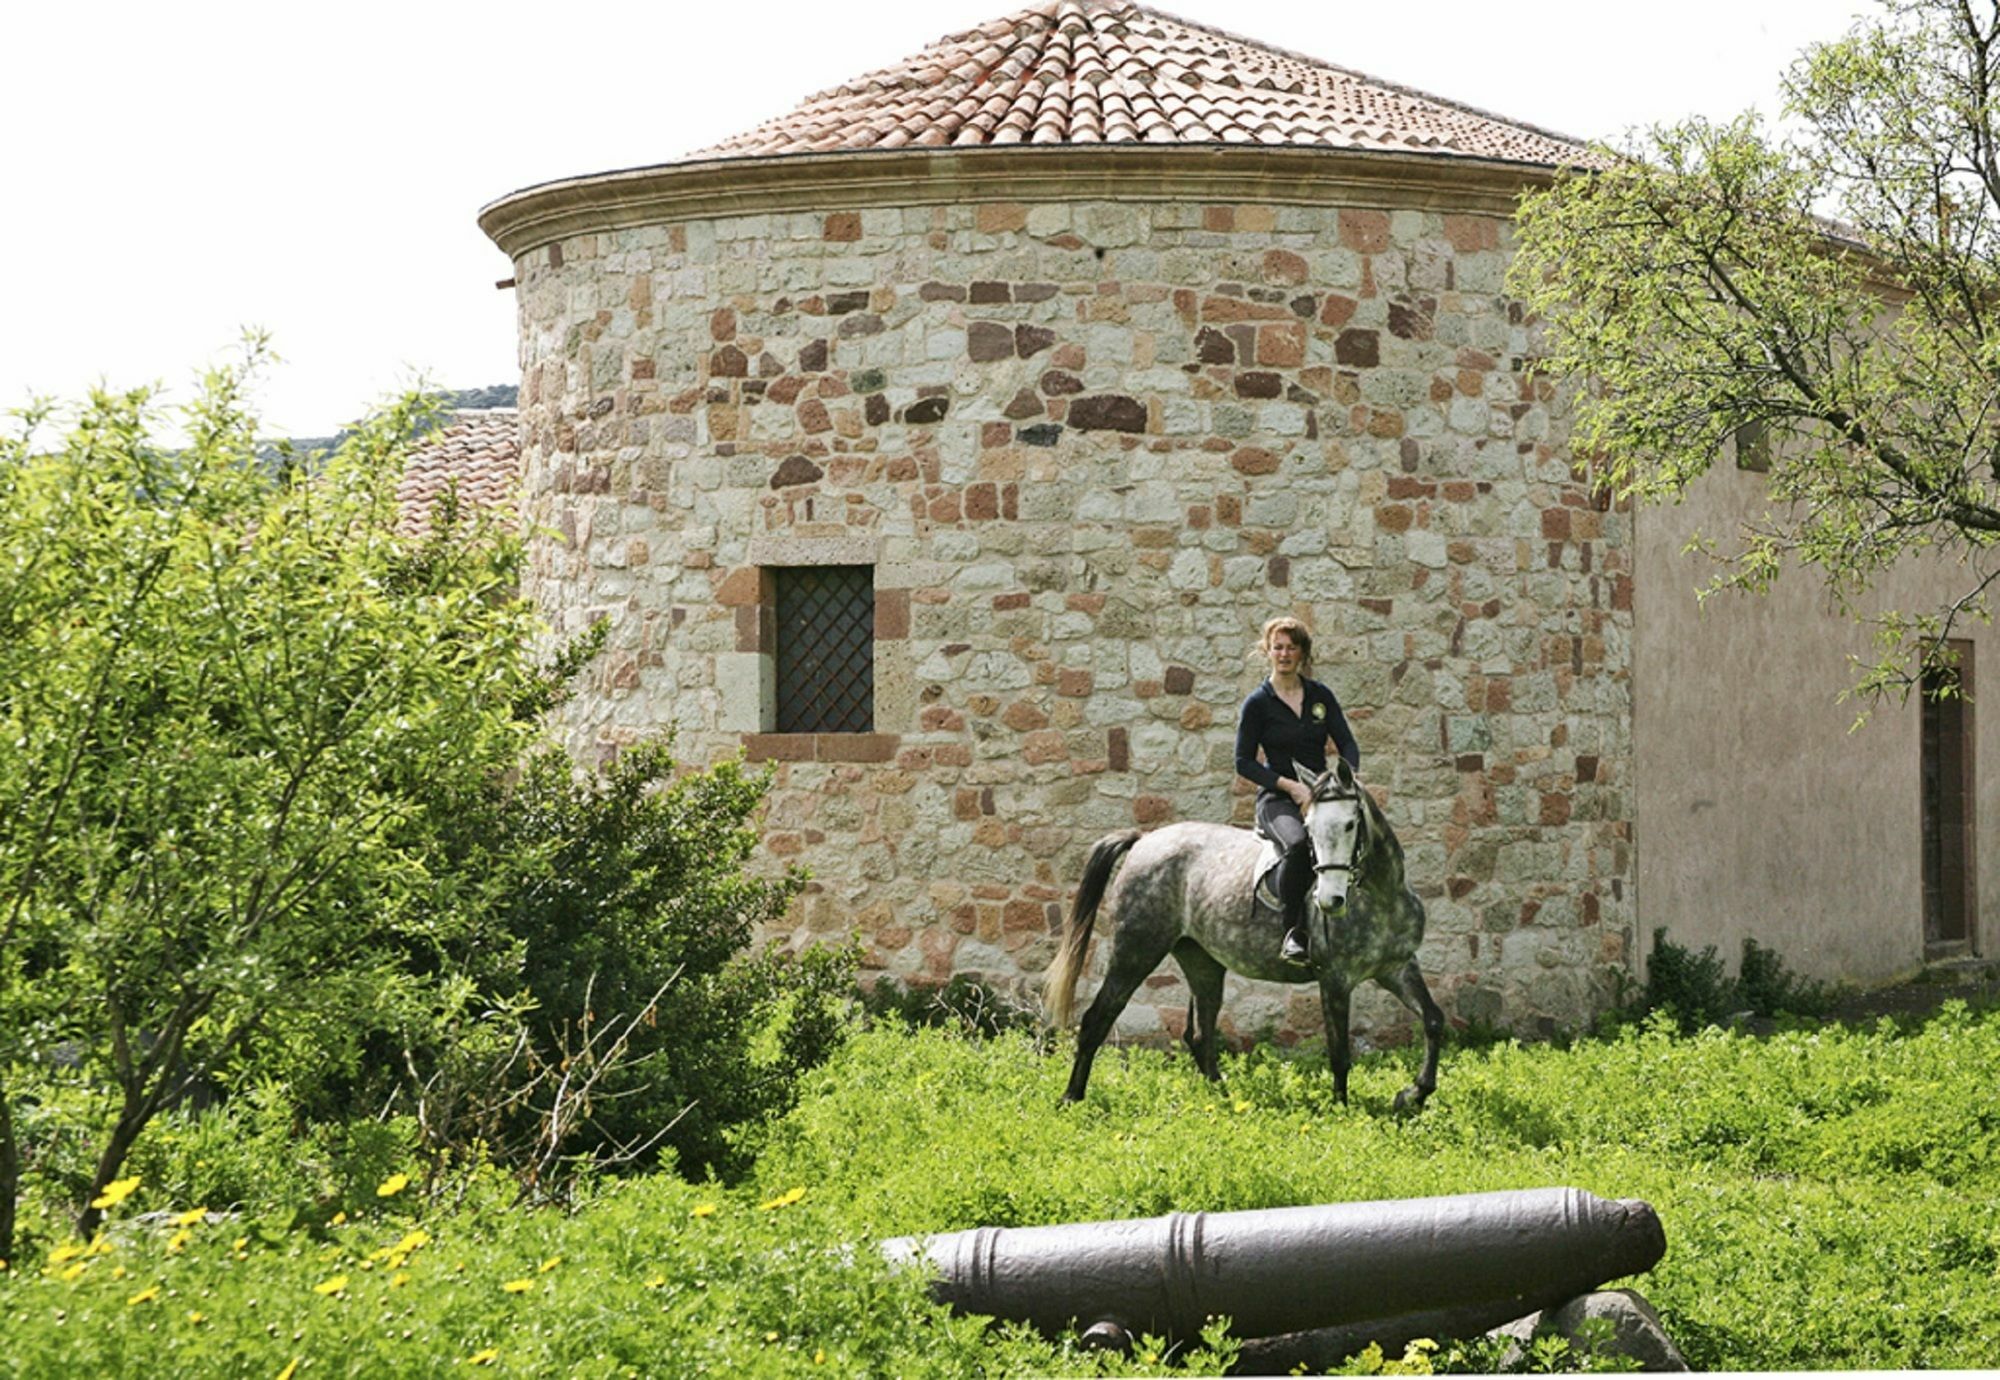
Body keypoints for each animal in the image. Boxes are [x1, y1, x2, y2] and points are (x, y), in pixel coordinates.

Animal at [1040, 756, 1448, 1112]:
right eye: (1309, 831)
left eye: (1350, 825)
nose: (1329, 901)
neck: (1381, 896)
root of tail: (1144, 840)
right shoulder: (1334, 979)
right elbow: (1339, 1053)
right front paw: (1342, 1110)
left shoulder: (1397, 968)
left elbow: (1433, 1020)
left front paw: (1413, 1095)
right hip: (1136, 950)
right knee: (1098, 1017)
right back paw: (1071, 1098)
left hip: (1201, 961)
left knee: (1199, 1035)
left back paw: (1225, 1099)